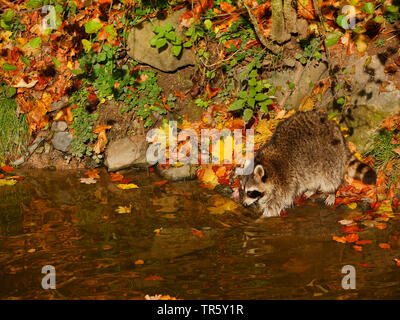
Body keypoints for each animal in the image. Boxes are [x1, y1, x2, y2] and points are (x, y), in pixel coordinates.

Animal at [242, 110, 376, 218]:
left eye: (251, 192)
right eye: (244, 190)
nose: (243, 204)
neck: (267, 164)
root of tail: (333, 125)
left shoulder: (284, 181)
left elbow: (277, 203)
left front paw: (264, 215)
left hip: (330, 155)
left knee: (330, 178)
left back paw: (332, 191)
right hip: (310, 163)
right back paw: (312, 188)